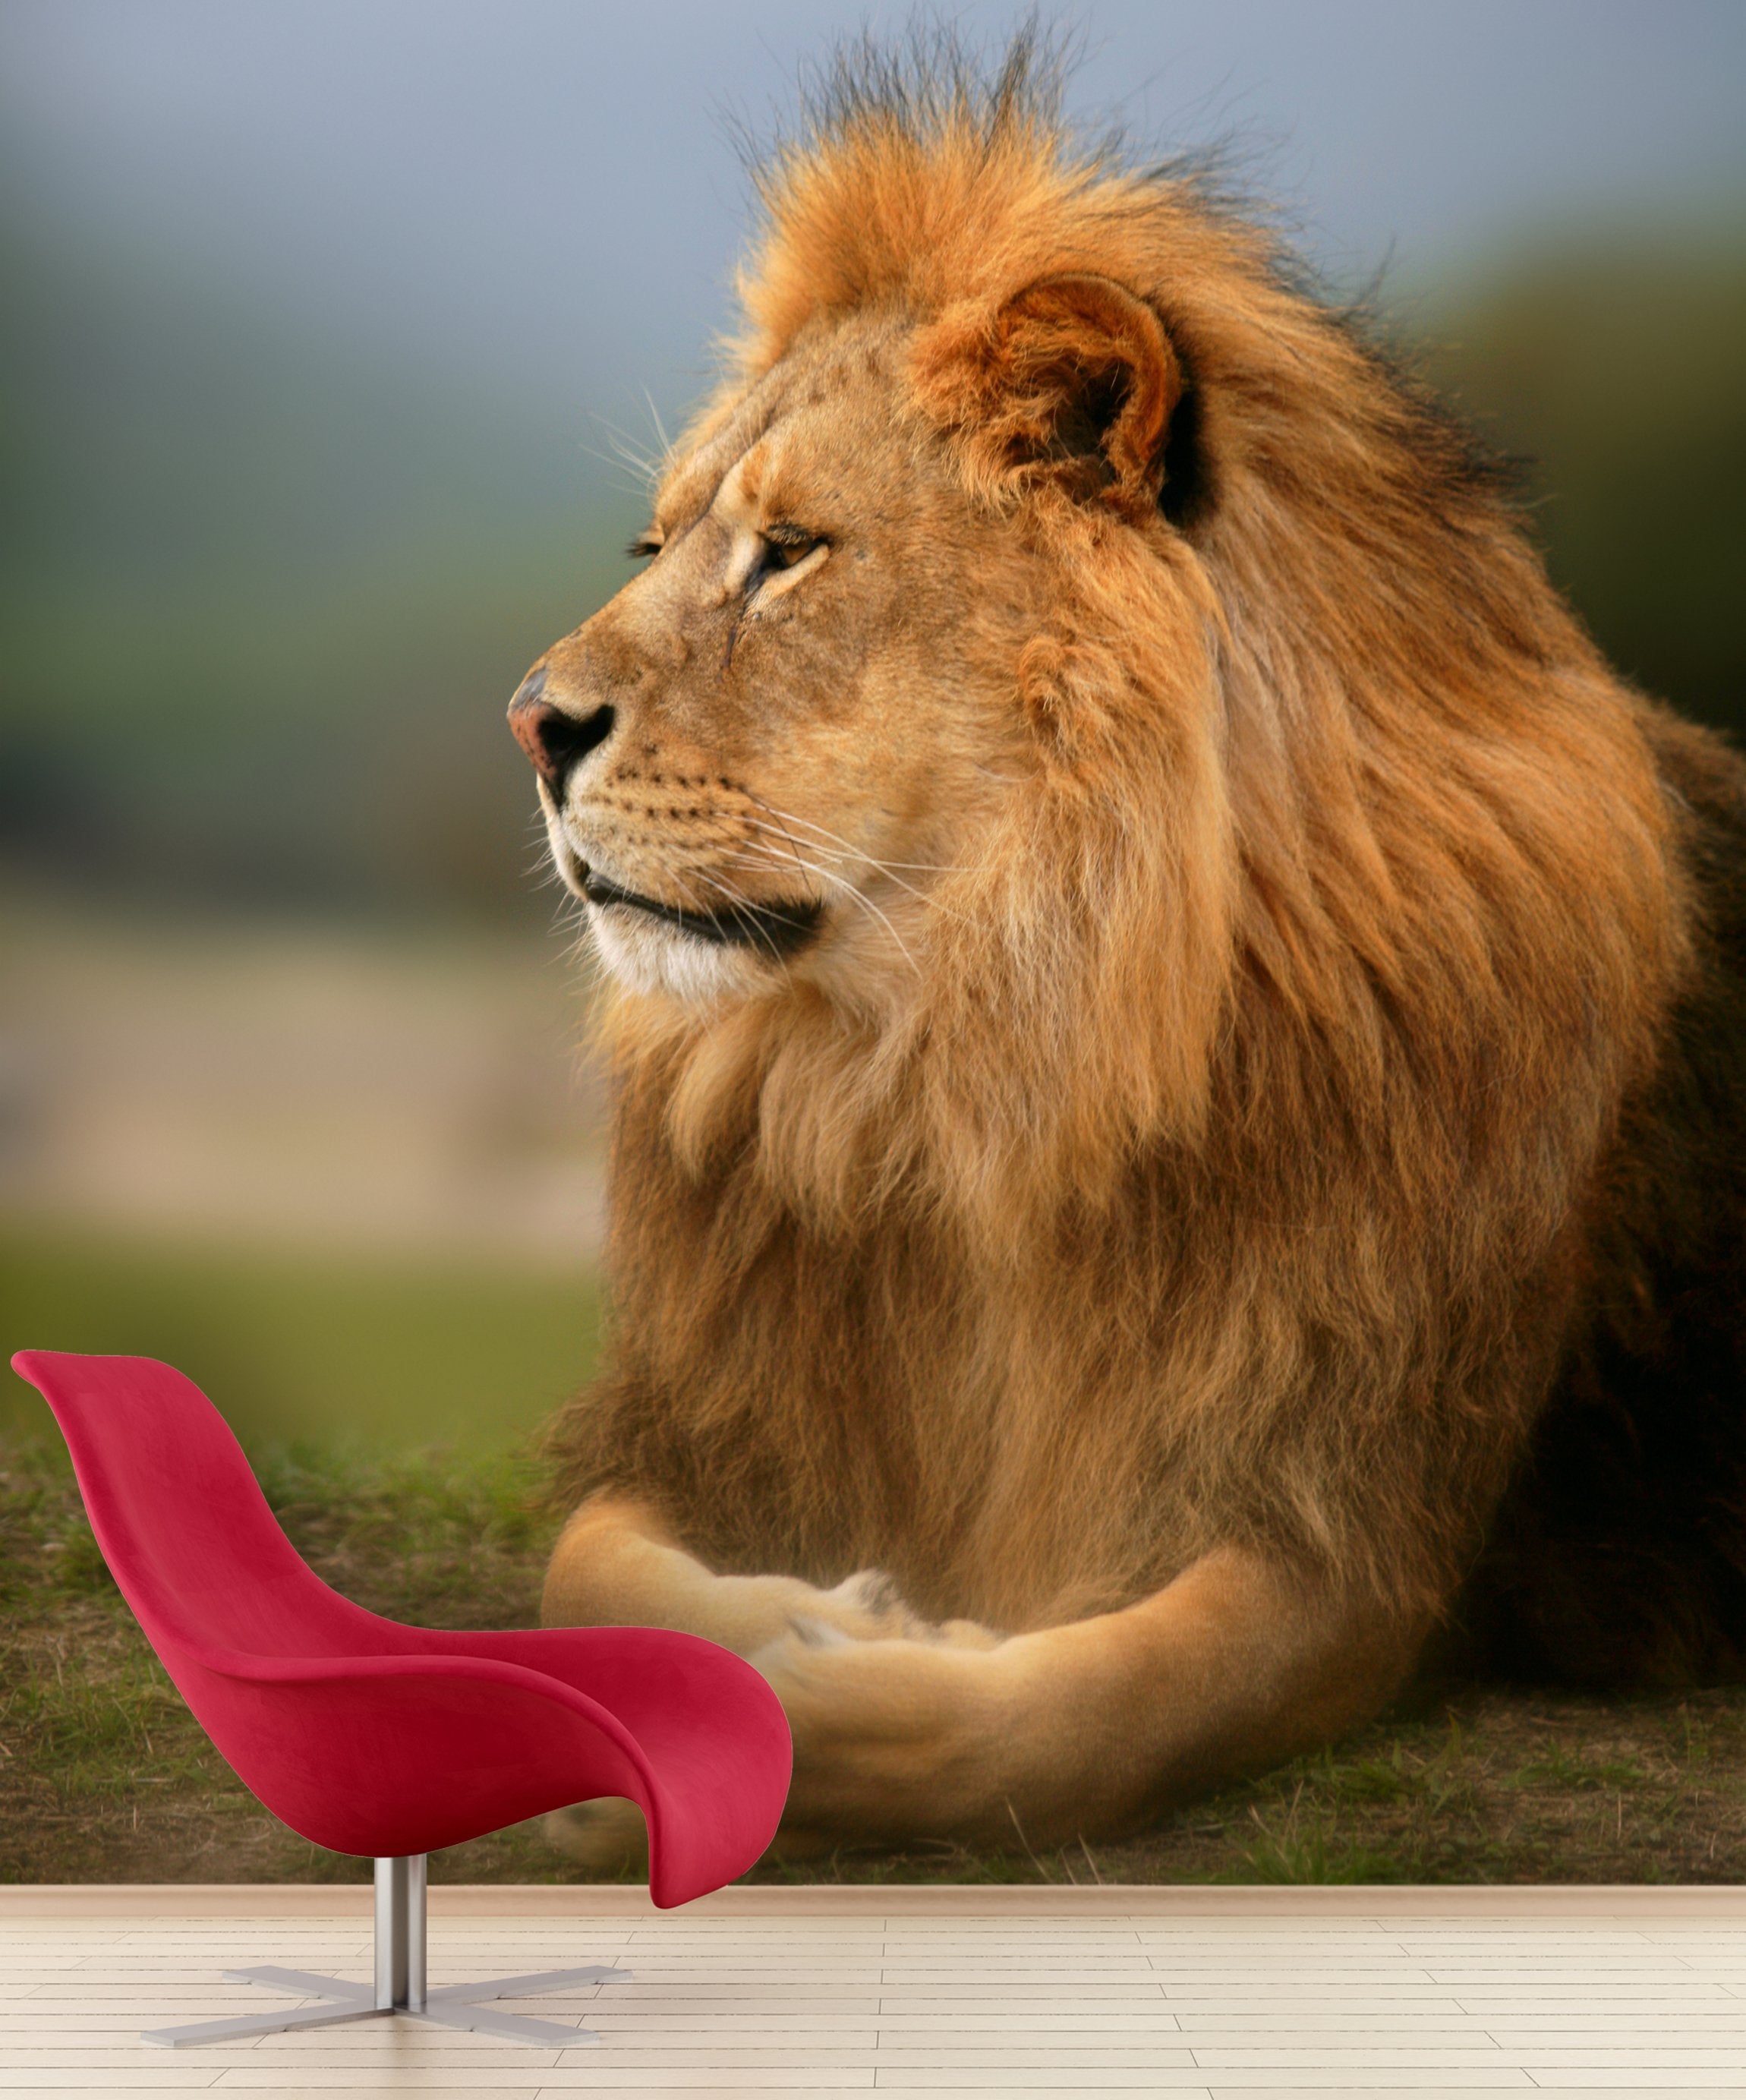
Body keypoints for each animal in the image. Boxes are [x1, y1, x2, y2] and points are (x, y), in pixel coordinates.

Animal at [507, 40, 1746, 1860]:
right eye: (655, 551)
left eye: (789, 553)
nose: (528, 725)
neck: (980, 1060)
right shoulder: (713, 1430)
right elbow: (582, 1578)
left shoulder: (1352, 1519)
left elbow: (1051, 1727)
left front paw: (830, 1685)